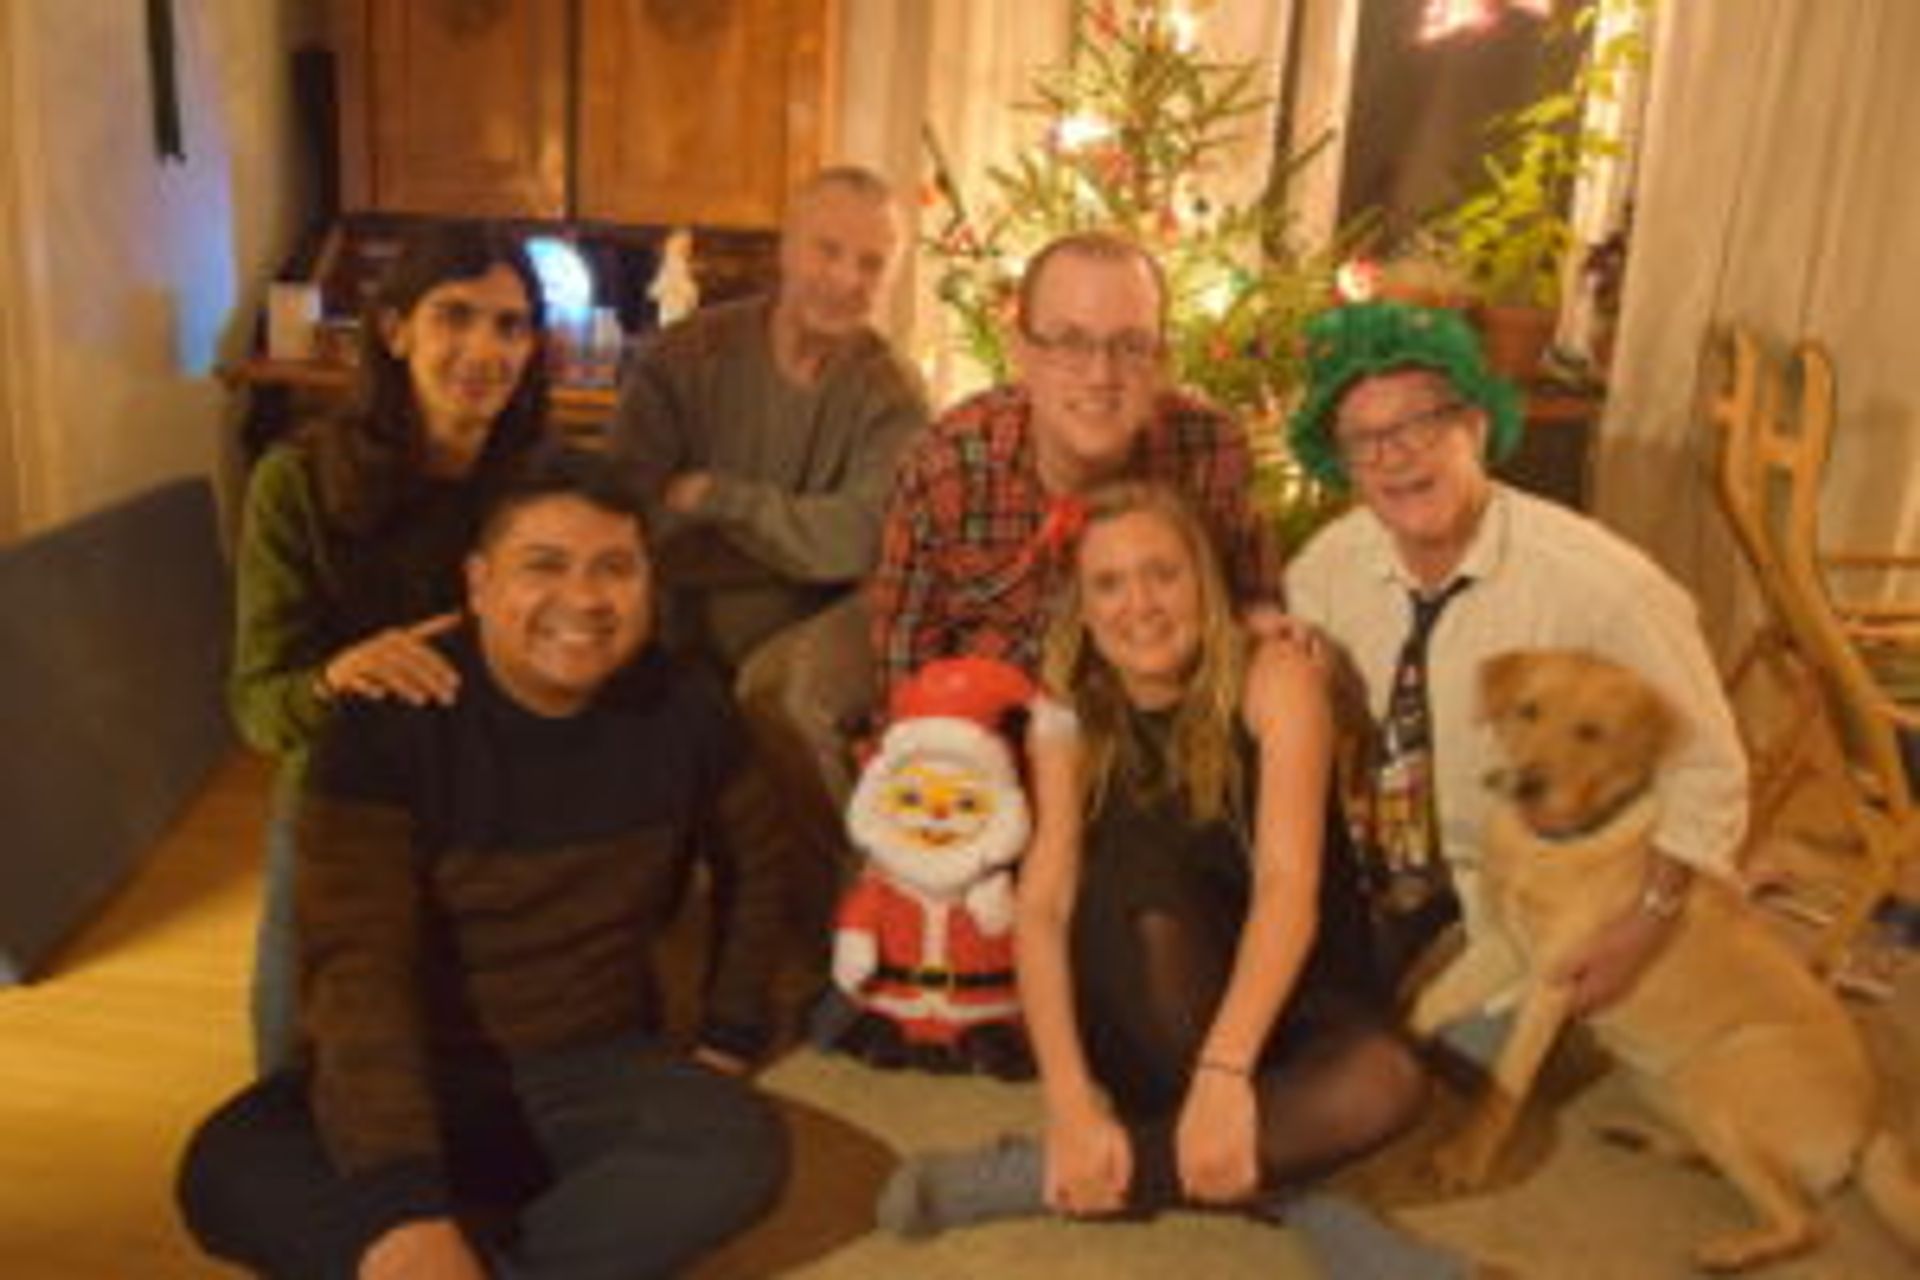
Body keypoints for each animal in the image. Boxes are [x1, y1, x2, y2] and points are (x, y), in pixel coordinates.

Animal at [1405, 652, 1912, 1274]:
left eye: (1591, 732)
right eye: (1529, 710)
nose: (1524, 784)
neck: (1553, 846)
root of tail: (1872, 1129)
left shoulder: (1552, 983)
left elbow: (1503, 1088)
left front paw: (1465, 1160)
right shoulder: (1504, 947)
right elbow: (1428, 1004)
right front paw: (1397, 1042)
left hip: (1713, 1081)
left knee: (1803, 1221)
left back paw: (1731, 1251)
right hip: (1660, 1082)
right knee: (1737, 1171)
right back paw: (1639, 1136)